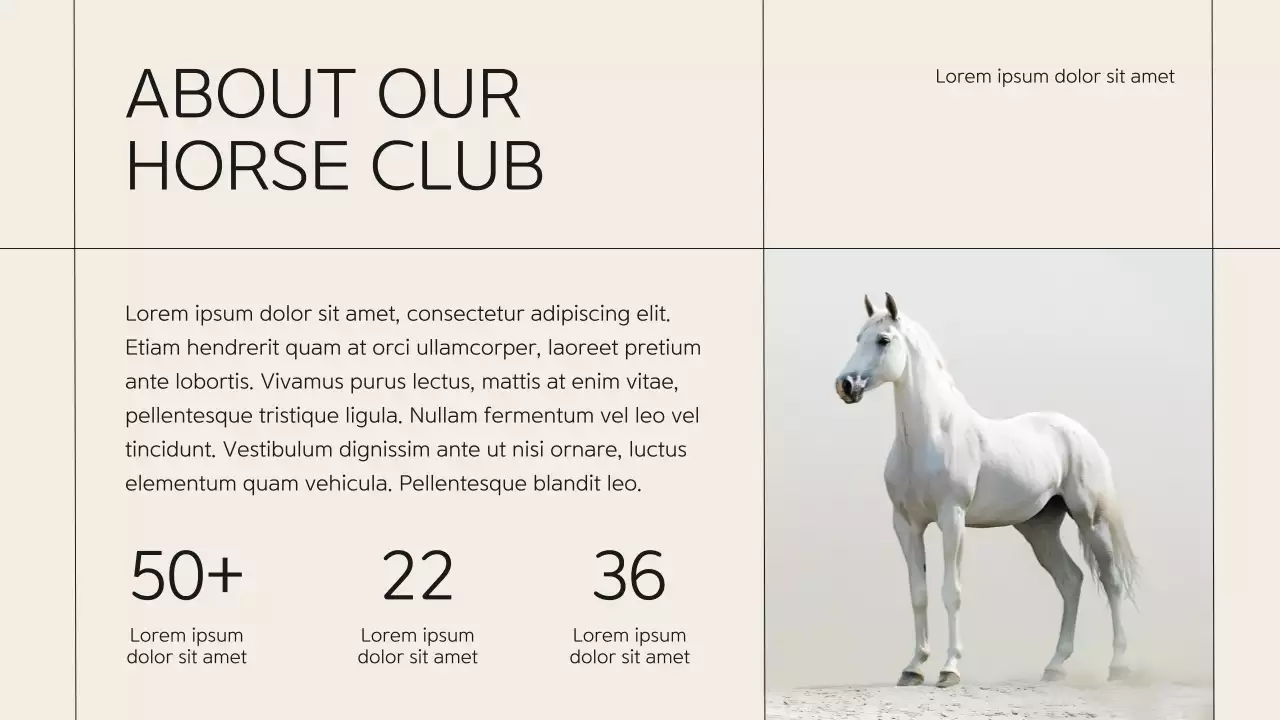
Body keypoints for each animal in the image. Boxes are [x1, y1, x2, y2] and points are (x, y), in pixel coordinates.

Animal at [833, 293, 1139, 688]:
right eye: (858, 338)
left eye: (883, 340)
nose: (845, 385)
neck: (932, 435)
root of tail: (1078, 433)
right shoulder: (906, 524)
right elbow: (919, 594)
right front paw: (913, 668)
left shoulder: (952, 518)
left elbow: (951, 592)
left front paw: (949, 669)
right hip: (1039, 528)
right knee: (1071, 581)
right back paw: (1055, 666)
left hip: (1090, 520)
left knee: (1110, 580)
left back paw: (1119, 666)